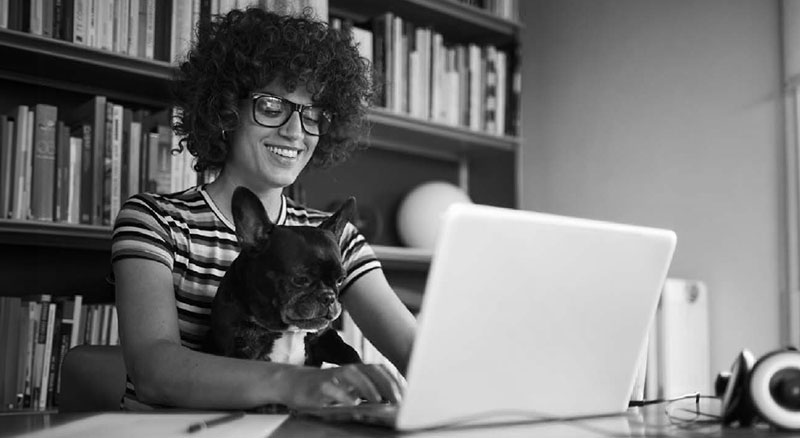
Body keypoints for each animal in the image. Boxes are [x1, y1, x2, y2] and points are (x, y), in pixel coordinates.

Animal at [205, 186, 360, 368]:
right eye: (300, 279)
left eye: (340, 280)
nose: (328, 297)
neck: (288, 329)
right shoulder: (239, 349)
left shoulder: (325, 336)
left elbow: (350, 353)